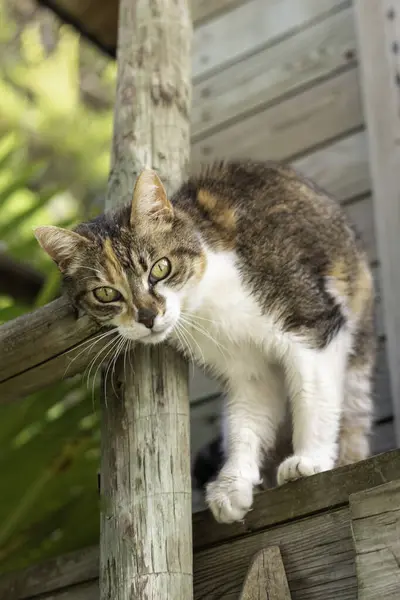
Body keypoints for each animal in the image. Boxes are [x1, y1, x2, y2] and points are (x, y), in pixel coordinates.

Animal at [34, 162, 376, 524]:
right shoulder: (247, 370)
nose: (147, 316)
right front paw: (232, 484)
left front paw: (310, 459)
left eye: (160, 268)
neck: (207, 305)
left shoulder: (310, 320)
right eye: (105, 293)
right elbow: (245, 418)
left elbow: (313, 393)